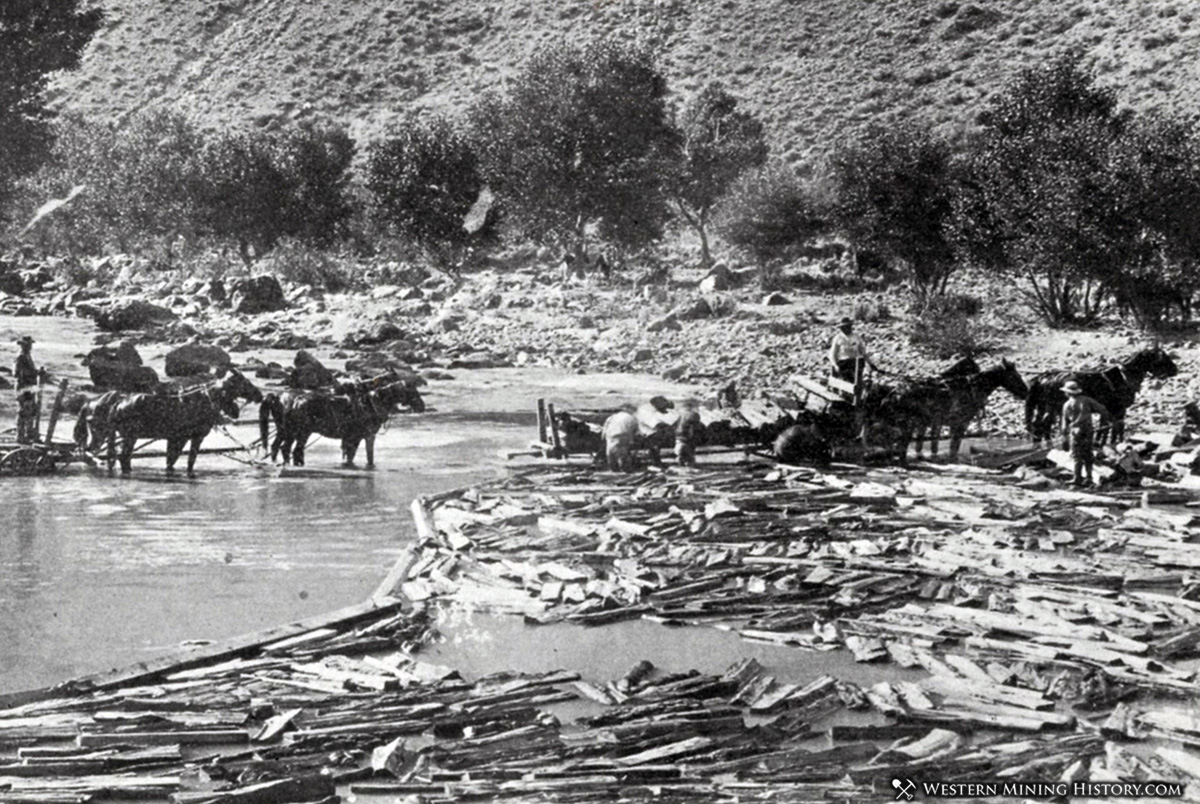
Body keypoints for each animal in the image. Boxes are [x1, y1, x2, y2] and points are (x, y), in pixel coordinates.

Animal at [105, 372, 262, 480]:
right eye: (245, 382)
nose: (259, 394)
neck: (204, 400)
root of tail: (118, 403)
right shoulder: (194, 437)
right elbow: (189, 460)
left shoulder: (178, 438)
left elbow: (171, 461)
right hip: (131, 436)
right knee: (123, 457)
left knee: (123, 458)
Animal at [261, 381, 427, 470]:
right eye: (412, 390)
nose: (422, 406)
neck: (370, 404)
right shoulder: (367, 436)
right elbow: (368, 456)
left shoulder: (351, 437)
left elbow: (349, 455)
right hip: (301, 432)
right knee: (294, 450)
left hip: (286, 431)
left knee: (280, 447)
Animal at [1022, 345, 1180, 446]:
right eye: (1162, 358)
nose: (1175, 370)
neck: (1124, 377)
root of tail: (1042, 377)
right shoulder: (1119, 409)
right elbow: (1117, 428)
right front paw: (1117, 443)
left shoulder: (1107, 409)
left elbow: (1105, 427)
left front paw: (1100, 442)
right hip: (1053, 406)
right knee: (1042, 425)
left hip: (1045, 407)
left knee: (1040, 424)